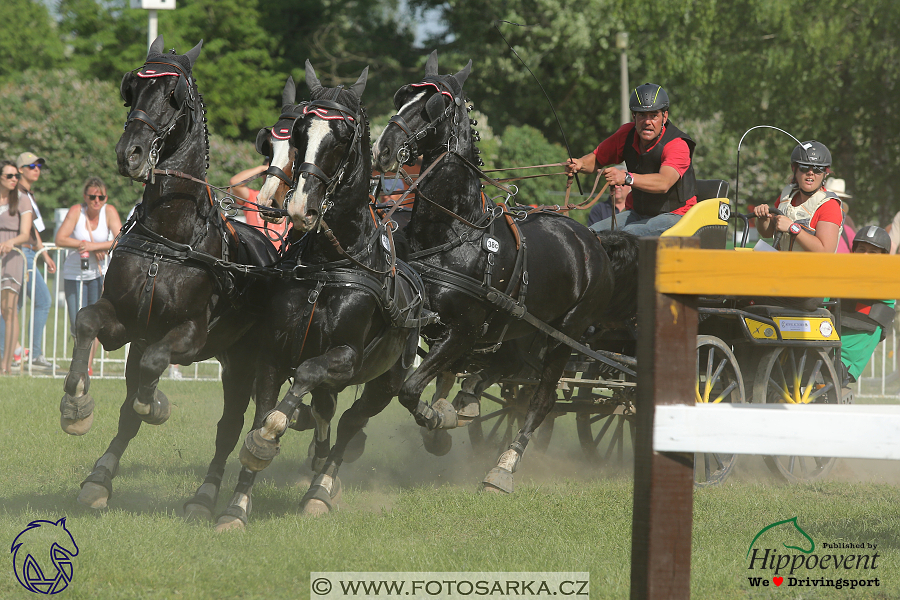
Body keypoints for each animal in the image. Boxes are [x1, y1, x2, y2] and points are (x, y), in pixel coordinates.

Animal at [60, 36, 280, 520]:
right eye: (133, 89)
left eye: (174, 94)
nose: (129, 153)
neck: (169, 239)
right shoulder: (126, 326)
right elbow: (87, 322)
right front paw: (78, 407)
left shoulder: (191, 334)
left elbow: (152, 369)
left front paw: (155, 401)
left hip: (249, 361)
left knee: (236, 425)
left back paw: (210, 497)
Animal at [236, 64, 426, 516]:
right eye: (301, 133)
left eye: (342, 136)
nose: (297, 207)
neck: (328, 265)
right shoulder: (273, 349)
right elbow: (267, 407)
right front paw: (235, 506)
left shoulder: (346, 356)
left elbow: (303, 378)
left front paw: (271, 435)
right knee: (327, 412)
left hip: (386, 381)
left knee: (351, 421)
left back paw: (321, 488)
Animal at [372, 51, 620, 492]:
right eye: (403, 97)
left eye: (434, 105)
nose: (383, 148)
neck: (456, 231)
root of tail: (592, 241)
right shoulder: (420, 321)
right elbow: (414, 382)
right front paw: (446, 416)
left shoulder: (465, 330)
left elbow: (410, 389)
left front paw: (438, 421)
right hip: (521, 327)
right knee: (509, 372)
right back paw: (469, 402)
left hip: (566, 334)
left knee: (541, 398)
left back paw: (504, 466)